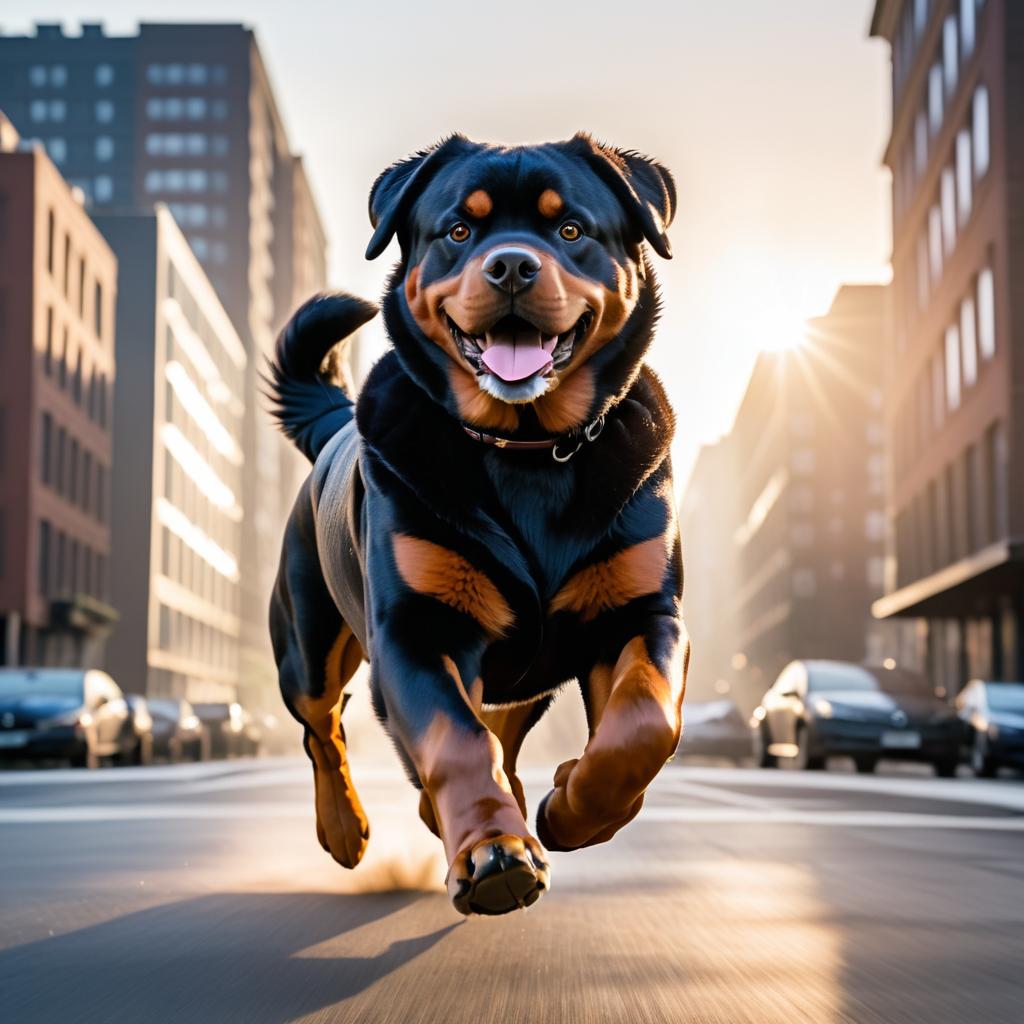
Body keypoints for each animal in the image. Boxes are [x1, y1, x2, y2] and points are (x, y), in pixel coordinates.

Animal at [268, 130, 692, 921]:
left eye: (570, 230)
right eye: (460, 231)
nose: (512, 264)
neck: (528, 450)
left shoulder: (644, 612)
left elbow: (644, 723)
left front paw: (572, 807)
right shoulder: (416, 628)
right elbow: (456, 742)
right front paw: (494, 852)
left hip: (523, 675)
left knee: (503, 727)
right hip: (307, 642)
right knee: (324, 727)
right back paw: (345, 827)